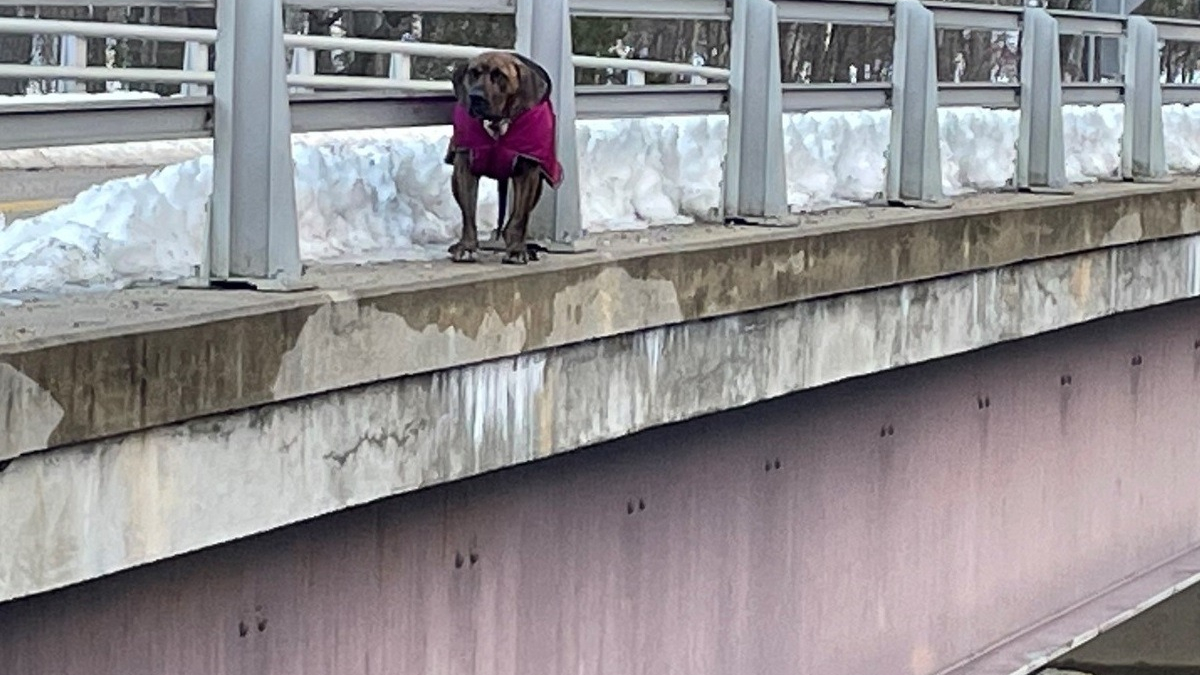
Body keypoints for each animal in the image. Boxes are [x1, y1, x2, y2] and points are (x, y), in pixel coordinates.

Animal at [446, 49, 561, 264]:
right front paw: (466, 247)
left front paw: (516, 250)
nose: (475, 96)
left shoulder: (528, 171)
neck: (497, 122)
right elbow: (468, 213)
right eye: (473, 73)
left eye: (499, 75)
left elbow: (519, 217)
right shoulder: (464, 167)